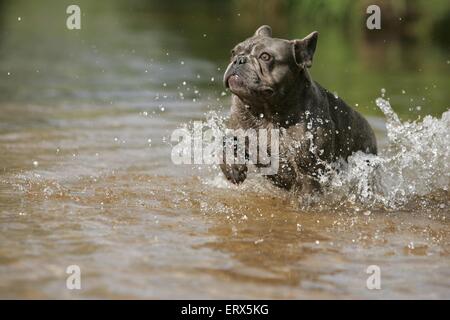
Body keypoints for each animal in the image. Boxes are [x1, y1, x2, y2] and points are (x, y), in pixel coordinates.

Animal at [221, 25, 376, 192]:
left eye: (265, 57)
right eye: (233, 52)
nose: (239, 60)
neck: (267, 112)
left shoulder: (309, 171)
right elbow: (226, 142)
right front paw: (232, 168)